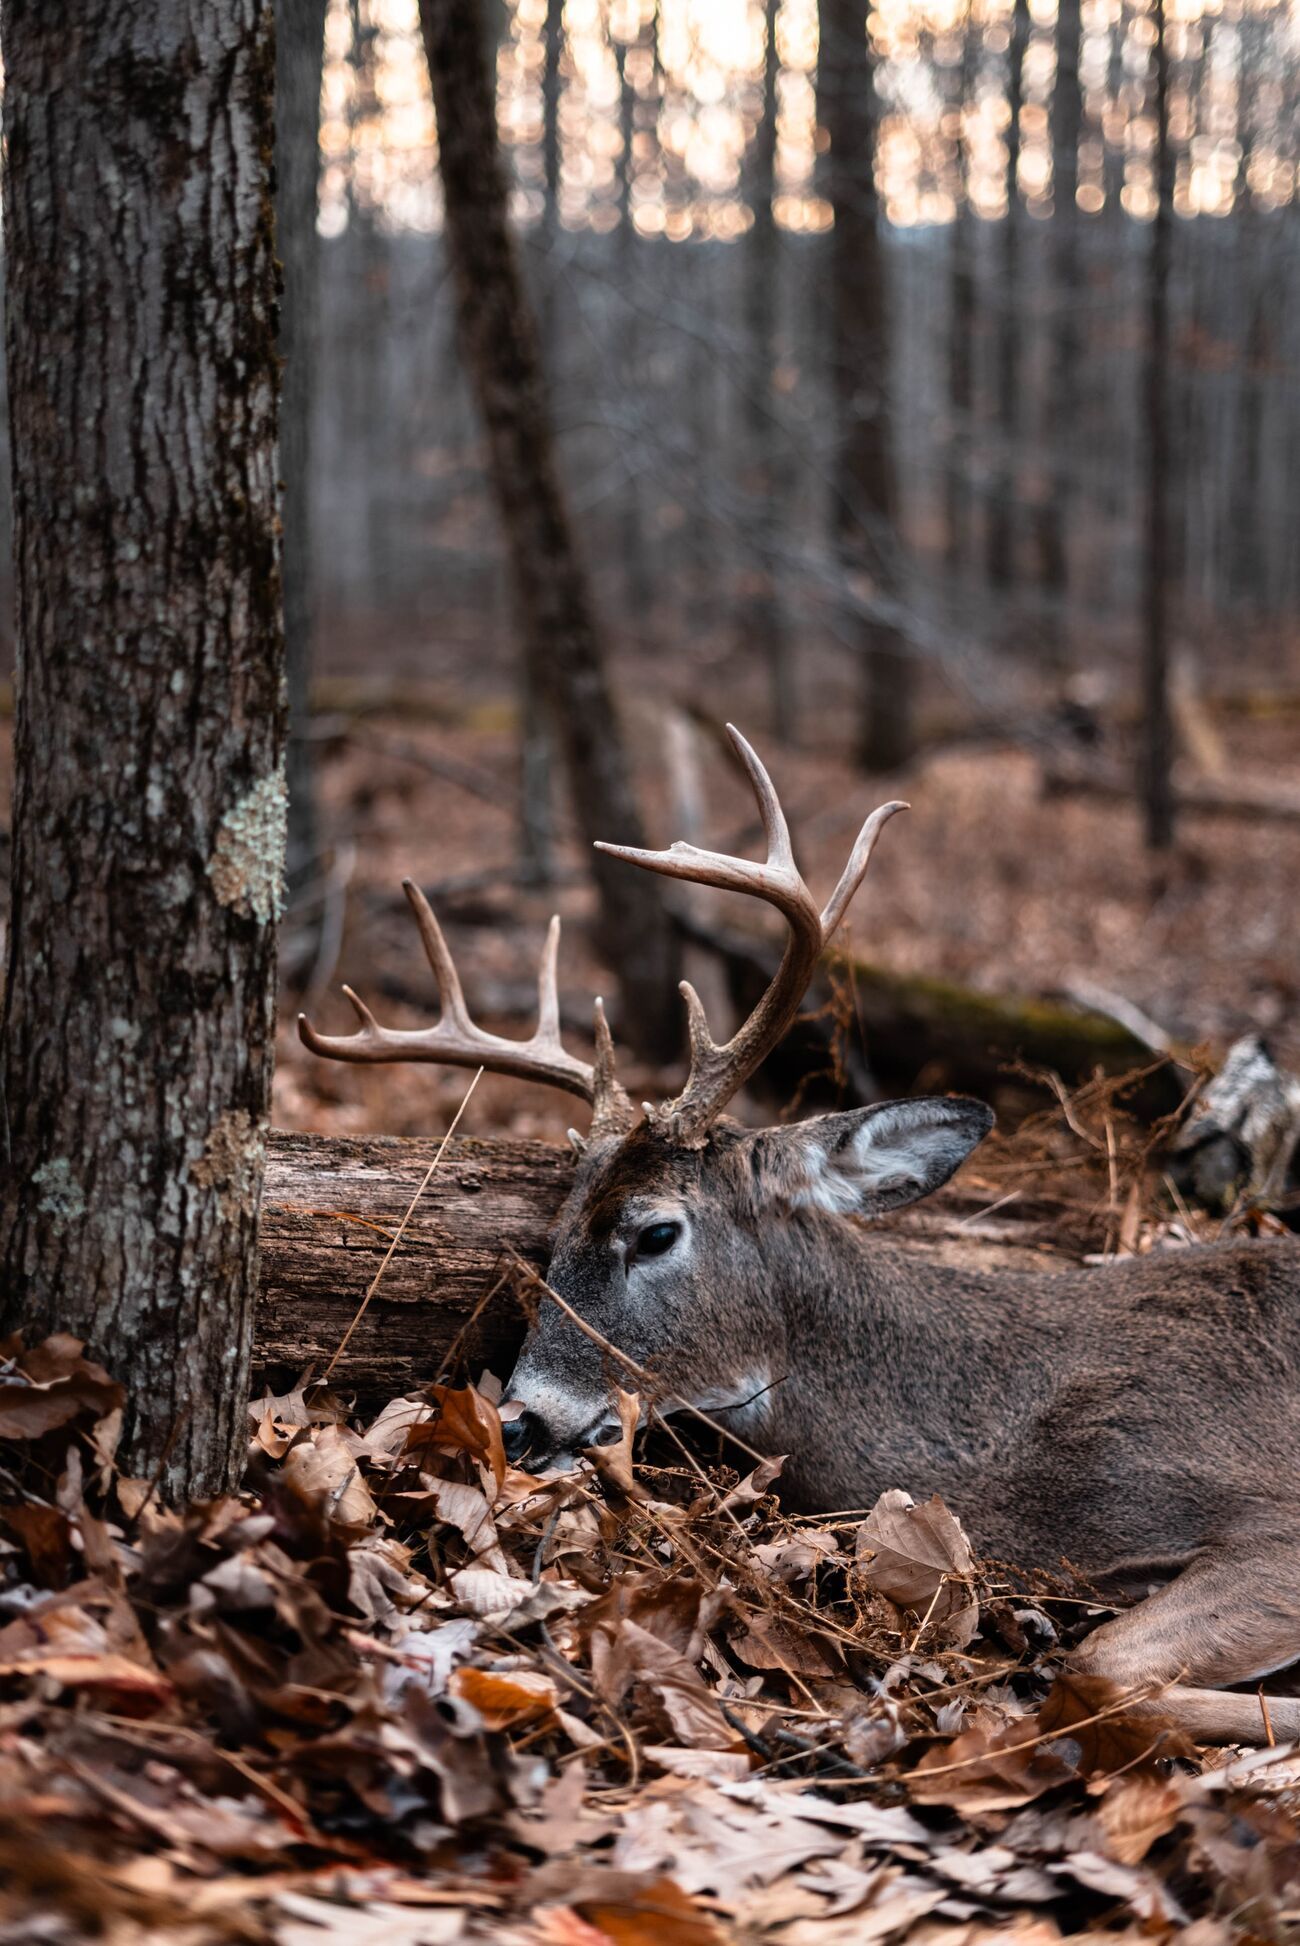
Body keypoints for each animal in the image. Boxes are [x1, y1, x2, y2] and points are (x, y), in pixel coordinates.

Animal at [299, 727, 1300, 1751]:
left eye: (655, 1232)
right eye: (553, 1237)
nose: (520, 1419)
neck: (986, 1437)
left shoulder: (1265, 1511)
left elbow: (1097, 1663)